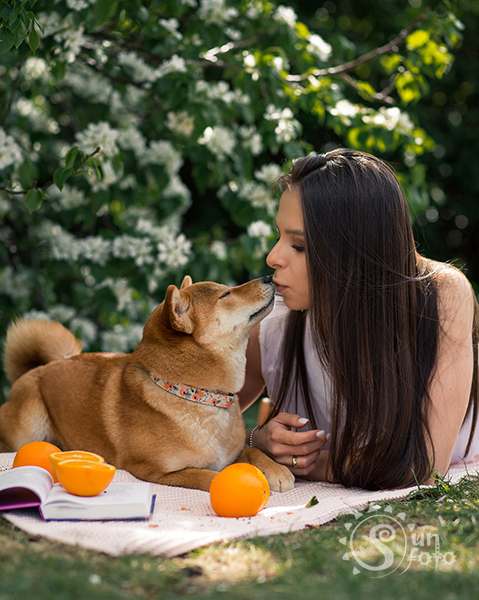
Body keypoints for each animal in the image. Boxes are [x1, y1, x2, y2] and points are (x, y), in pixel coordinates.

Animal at [0, 276, 294, 492]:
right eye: (225, 295)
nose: (268, 276)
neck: (198, 396)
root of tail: (38, 368)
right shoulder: (159, 472)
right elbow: (208, 476)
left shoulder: (233, 450)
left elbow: (251, 450)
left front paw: (276, 470)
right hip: (28, 427)